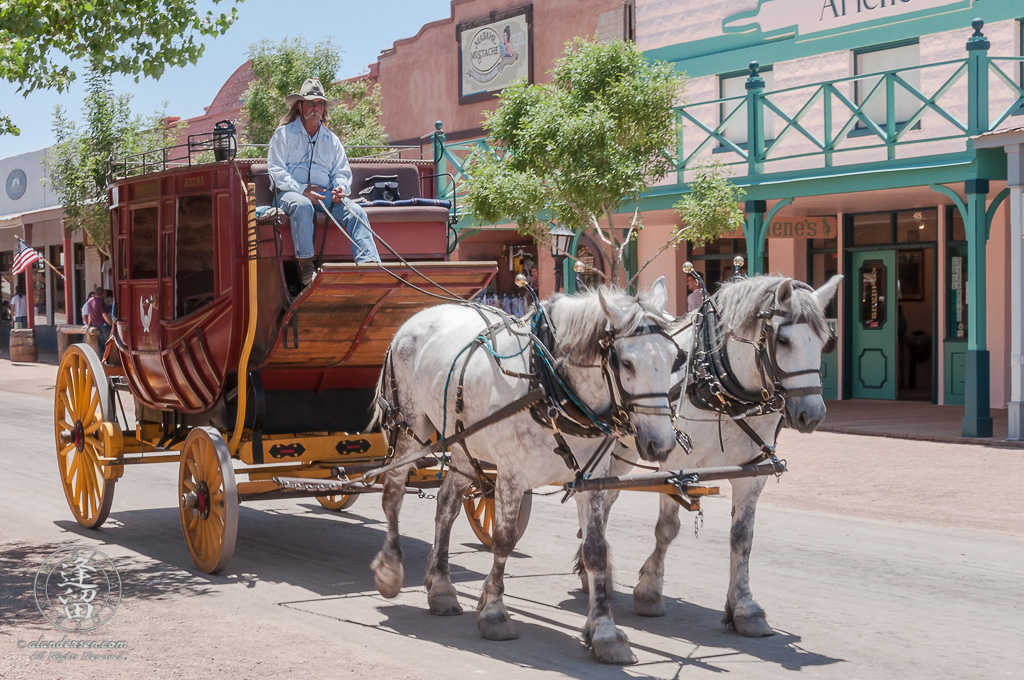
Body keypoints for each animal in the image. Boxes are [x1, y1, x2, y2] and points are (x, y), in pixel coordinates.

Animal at [372, 278, 684, 663]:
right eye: (626, 362)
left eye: (674, 359)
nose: (662, 444)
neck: (549, 385)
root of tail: (415, 319)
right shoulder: (511, 475)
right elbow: (503, 541)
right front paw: (494, 612)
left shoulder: (592, 480)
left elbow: (595, 550)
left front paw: (605, 632)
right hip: (409, 427)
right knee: (393, 493)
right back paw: (390, 568)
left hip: (463, 442)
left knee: (446, 506)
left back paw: (442, 586)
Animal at [581, 270, 843, 639]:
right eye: (784, 340)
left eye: (824, 341)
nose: (813, 414)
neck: (721, 383)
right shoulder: (676, 466)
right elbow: (667, 529)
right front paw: (649, 592)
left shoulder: (753, 472)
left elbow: (742, 538)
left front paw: (744, 608)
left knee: (605, 502)